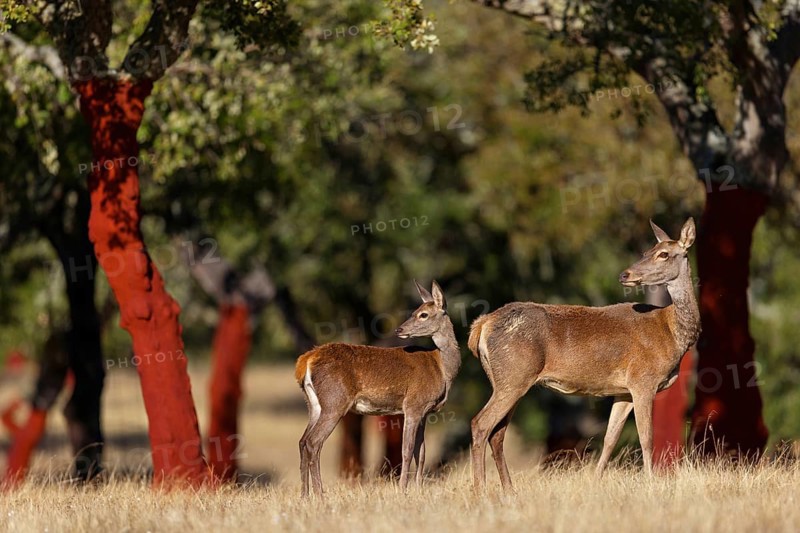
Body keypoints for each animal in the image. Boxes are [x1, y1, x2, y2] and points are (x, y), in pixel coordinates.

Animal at [295, 281, 460, 497]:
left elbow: (421, 452)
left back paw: (305, 495)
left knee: (302, 441)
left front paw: (418, 489)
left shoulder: (425, 411)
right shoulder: (413, 405)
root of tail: (306, 360)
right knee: (314, 442)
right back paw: (320, 495)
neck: (442, 368)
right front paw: (402, 489)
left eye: (423, 314)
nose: (399, 329)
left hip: (314, 404)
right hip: (334, 401)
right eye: (416, 311)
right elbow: (406, 451)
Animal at [468, 217, 700, 491]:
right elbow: (646, 437)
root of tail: (482, 325)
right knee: (481, 424)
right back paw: (480, 489)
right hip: (514, 375)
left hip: (508, 379)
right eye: (647, 252)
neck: (672, 333)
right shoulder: (643, 380)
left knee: (498, 433)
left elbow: (610, 439)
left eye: (663, 253)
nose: (625, 274)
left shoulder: (623, 390)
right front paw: (651, 483)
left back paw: (509, 489)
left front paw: (596, 481)